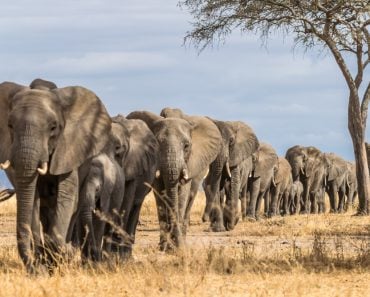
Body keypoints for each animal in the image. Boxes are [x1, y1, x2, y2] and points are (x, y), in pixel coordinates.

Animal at [0, 80, 111, 270]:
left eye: (53, 128)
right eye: (10, 126)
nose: (32, 268)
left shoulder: (69, 149)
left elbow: (66, 195)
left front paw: (64, 254)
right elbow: (32, 198)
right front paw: (43, 264)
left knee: (74, 207)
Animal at [127, 108, 221, 250]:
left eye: (186, 146)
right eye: (157, 143)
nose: (176, 246)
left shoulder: (190, 162)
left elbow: (182, 195)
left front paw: (176, 247)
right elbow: (160, 195)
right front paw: (165, 247)